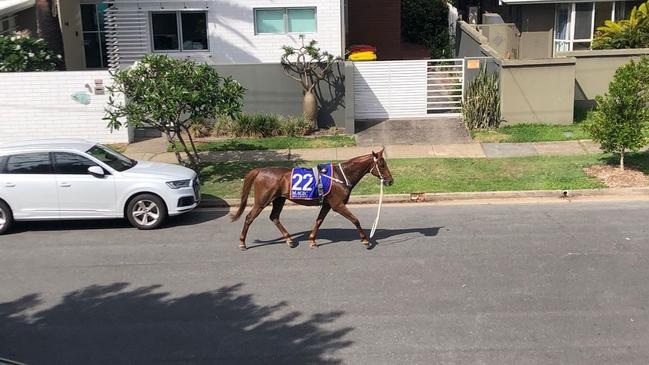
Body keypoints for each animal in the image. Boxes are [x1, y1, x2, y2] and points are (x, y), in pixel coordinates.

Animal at [233, 147, 394, 247]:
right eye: (381, 164)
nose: (390, 180)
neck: (340, 176)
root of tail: (260, 170)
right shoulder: (337, 205)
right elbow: (355, 220)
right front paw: (365, 240)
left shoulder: (327, 205)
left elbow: (318, 221)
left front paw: (312, 240)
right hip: (262, 201)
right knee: (249, 218)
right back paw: (242, 242)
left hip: (279, 199)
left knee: (274, 217)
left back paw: (289, 239)